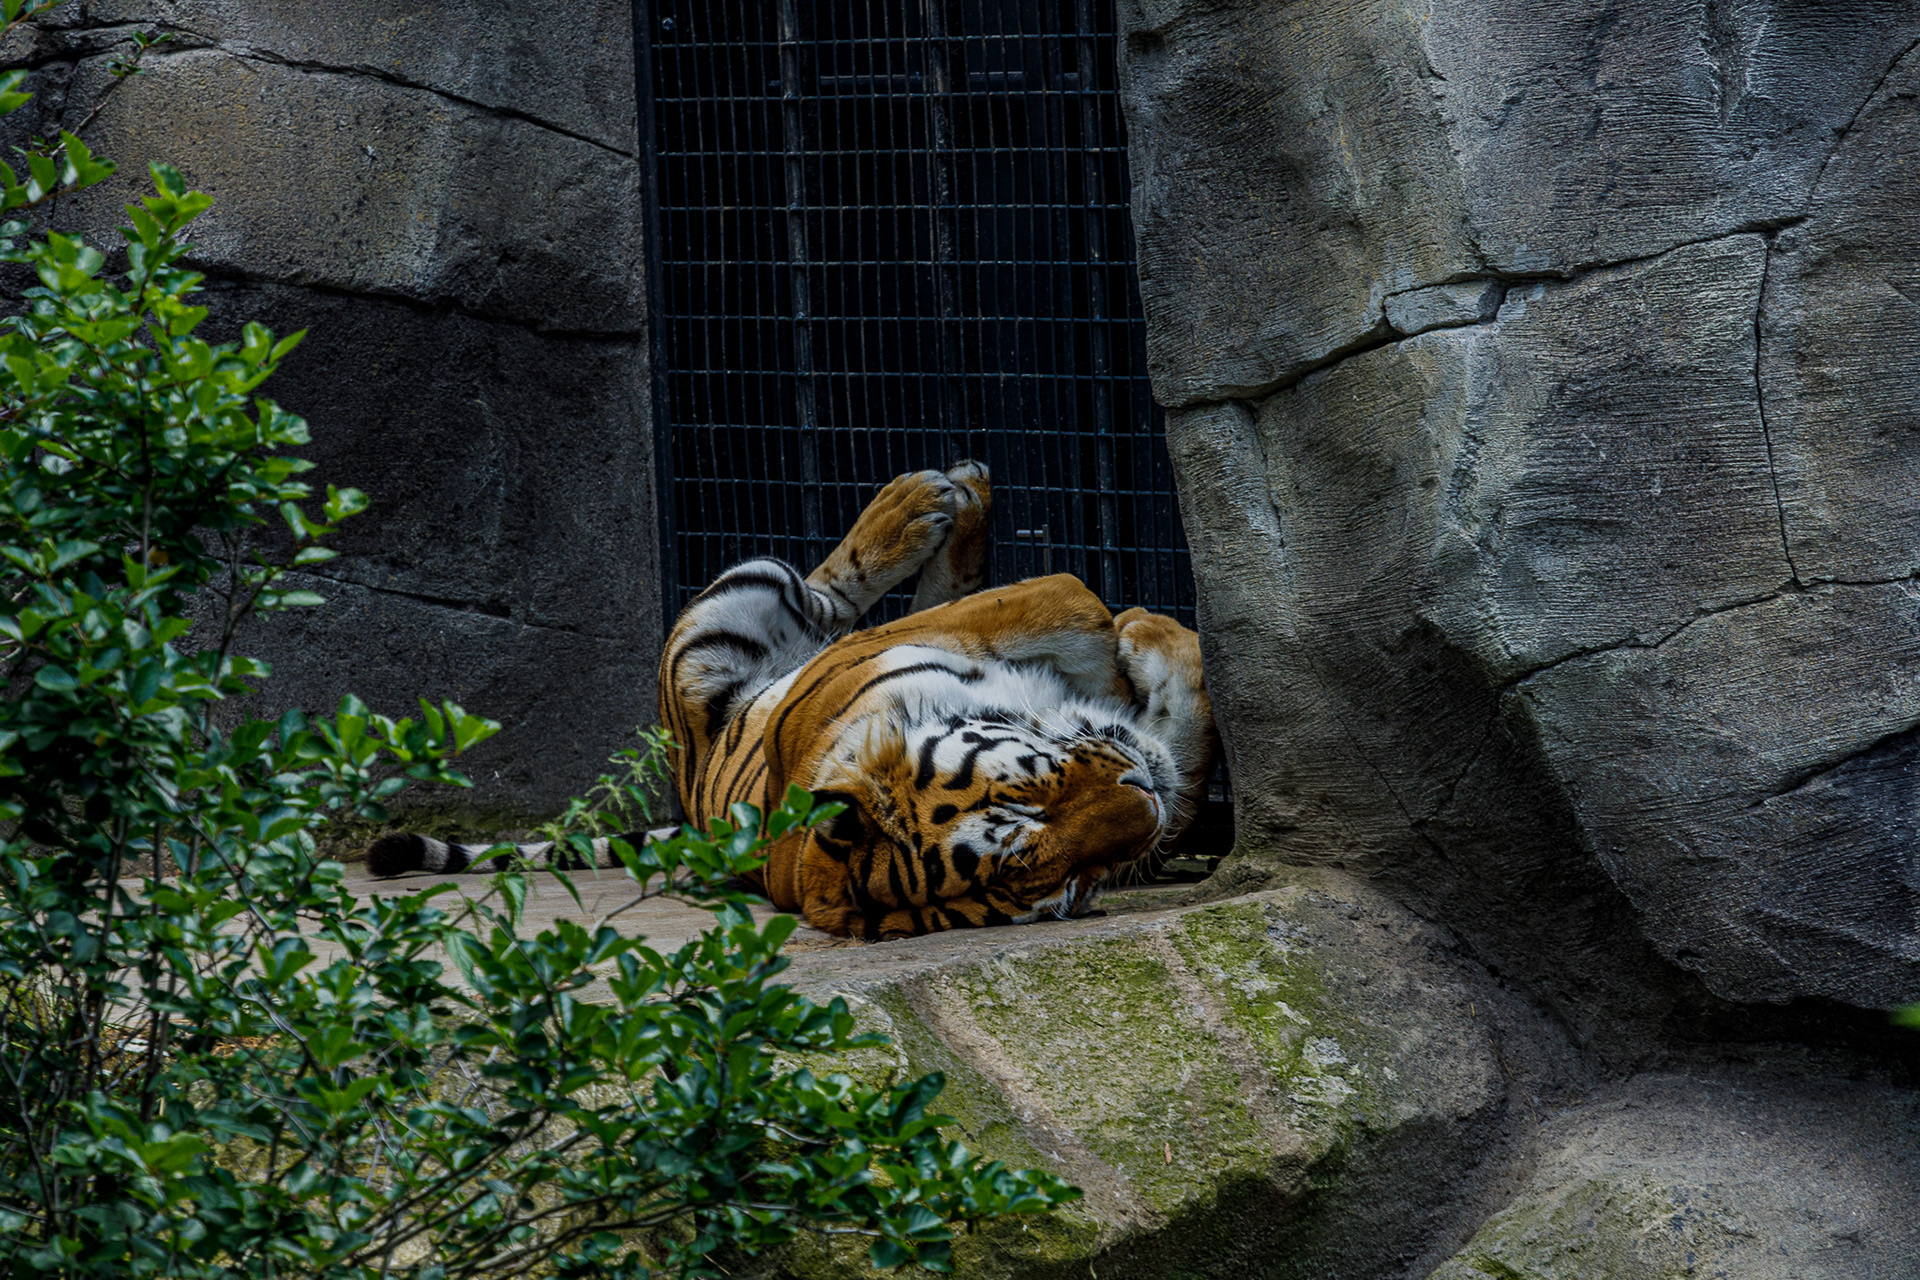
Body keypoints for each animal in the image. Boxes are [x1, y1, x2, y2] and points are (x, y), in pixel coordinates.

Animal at [366, 462, 1220, 940]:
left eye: (1030, 791)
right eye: (1064, 887)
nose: (1138, 800)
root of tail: (690, 800)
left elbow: (1082, 633)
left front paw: (1144, 647)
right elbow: (1087, 616)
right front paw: (1153, 636)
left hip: (751, 590)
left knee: (850, 596)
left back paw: (946, 497)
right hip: (723, 617)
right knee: (828, 592)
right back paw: (931, 501)